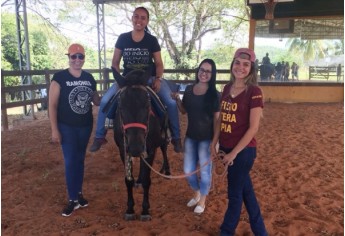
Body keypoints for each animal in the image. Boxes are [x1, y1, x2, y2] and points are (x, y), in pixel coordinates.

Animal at [113, 68, 169, 221]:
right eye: (121, 106)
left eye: (148, 105)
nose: (136, 147)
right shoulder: (123, 150)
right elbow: (128, 180)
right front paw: (130, 209)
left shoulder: (150, 149)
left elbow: (147, 180)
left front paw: (145, 210)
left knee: (164, 147)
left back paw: (167, 170)